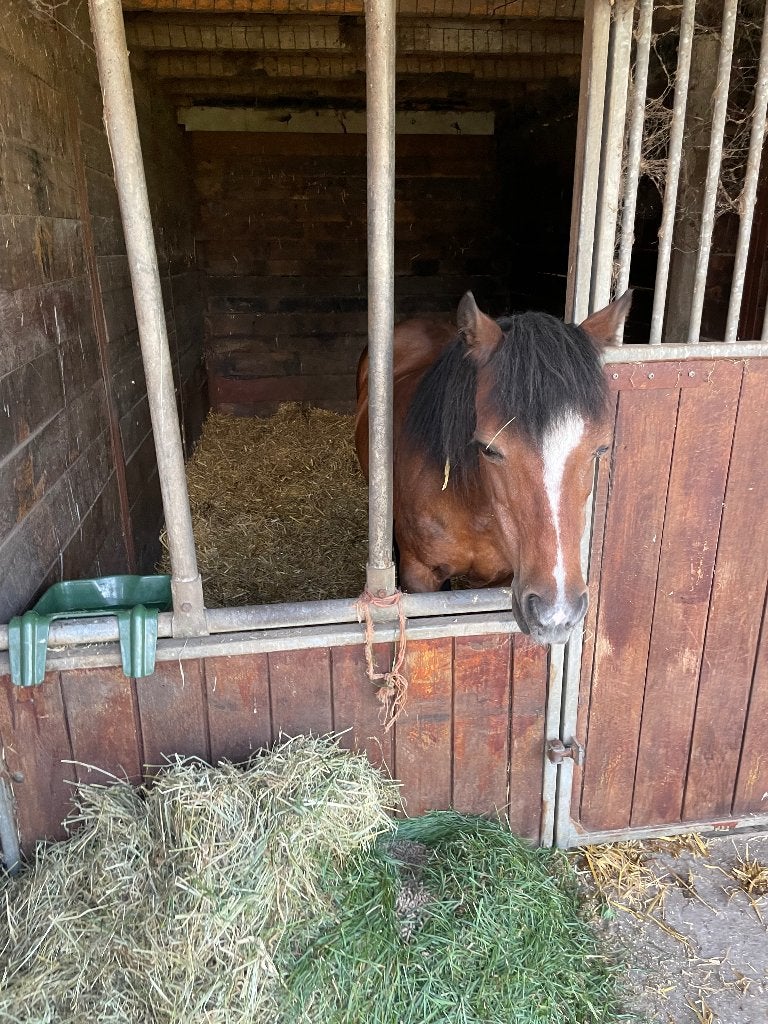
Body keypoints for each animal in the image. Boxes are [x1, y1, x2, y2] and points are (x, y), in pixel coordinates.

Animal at [355, 290, 631, 646]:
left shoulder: (504, 576)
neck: (474, 506)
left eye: (601, 448)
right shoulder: (421, 576)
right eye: (489, 449)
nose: (557, 615)